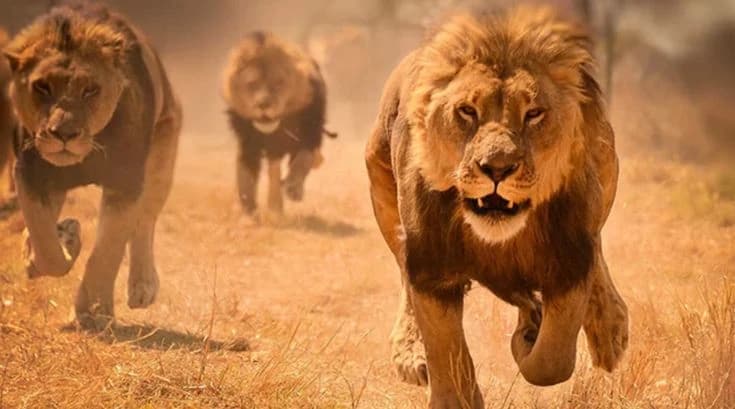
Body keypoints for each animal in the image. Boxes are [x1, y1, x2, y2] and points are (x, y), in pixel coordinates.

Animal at [3, 3, 181, 326]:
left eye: (90, 90)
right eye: (42, 87)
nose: (64, 134)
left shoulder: (125, 183)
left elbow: (108, 249)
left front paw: (94, 311)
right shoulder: (29, 174)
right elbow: (44, 242)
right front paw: (67, 239)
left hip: (164, 149)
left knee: (145, 222)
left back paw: (142, 286)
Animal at [223, 31, 335, 217]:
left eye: (278, 83)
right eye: (252, 84)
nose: (263, 104)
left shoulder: (310, 135)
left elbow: (303, 160)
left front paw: (293, 189)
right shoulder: (248, 145)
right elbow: (246, 178)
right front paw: (249, 213)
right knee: (273, 171)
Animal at [365, 8, 628, 407]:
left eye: (533, 114)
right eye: (467, 111)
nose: (497, 168)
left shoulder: (570, 261)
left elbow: (552, 360)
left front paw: (528, 340)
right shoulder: (430, 269)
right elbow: (447, 354)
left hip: (605, 172)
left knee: (596, 250)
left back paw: (608, 330)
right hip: (381, 189)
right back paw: (412, 354)